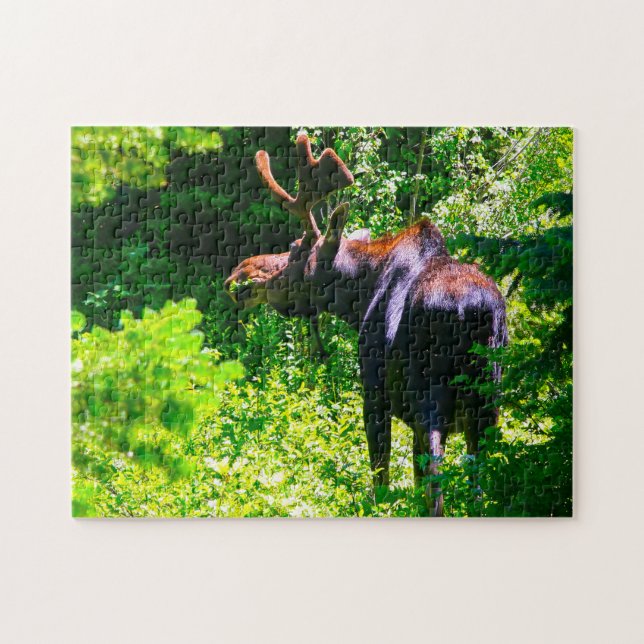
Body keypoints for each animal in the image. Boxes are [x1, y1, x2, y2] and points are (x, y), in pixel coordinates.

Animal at [225, 134, 507, 516]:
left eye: (296, 250)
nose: (240, 274)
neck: (360, 298)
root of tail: (473, 311)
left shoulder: (374, 392)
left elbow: (382, 477)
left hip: (432, 397)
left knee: (437, 481)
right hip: (488, 403)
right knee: (479, 482)